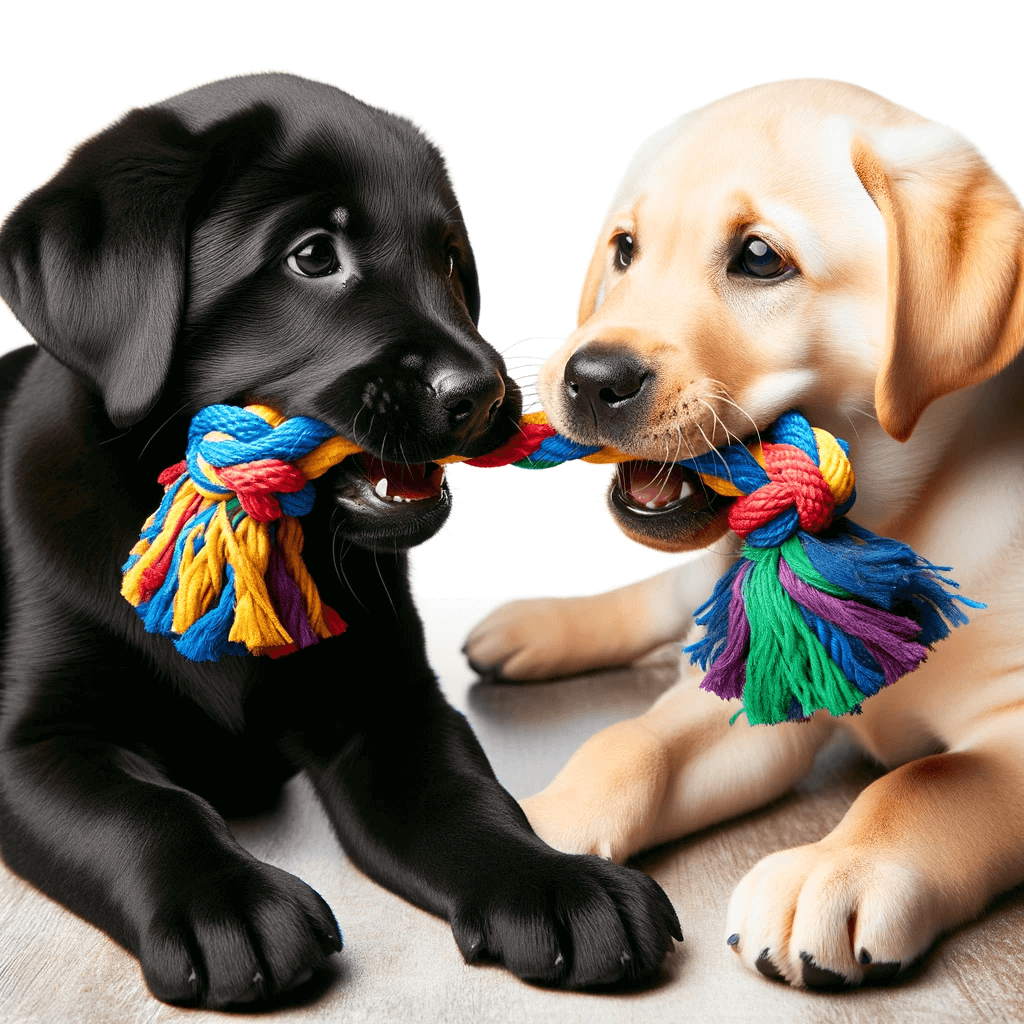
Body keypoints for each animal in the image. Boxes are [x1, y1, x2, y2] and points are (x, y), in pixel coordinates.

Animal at [0, 77, 679, 1007]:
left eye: (448, 259)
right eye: (314, 256)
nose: (483, 391)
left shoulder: (389, 706)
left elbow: (471, 799)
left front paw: (557, 882)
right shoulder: (36, 744)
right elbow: (144, 811)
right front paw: (229, 902)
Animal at [468, 81, 1024, 991]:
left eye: (761, 257)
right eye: (625, 250)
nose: (589, 376)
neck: (889, 521)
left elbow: (930, 783)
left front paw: (837, 869)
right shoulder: (760, 678)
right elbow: (633, 742)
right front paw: (540, 836)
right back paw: (534, 624)